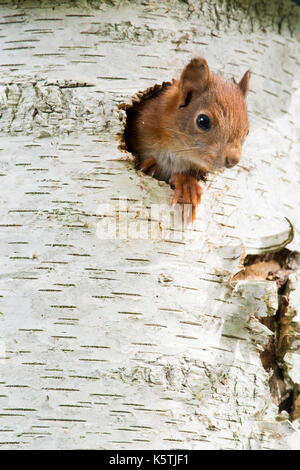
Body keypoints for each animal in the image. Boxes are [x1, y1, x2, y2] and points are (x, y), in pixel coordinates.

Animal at [124, 57, 251, 222]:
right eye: (203, 121)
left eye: (247, 131)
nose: (233, 160)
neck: (175, 152)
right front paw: (149, 165)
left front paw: (186, 184)